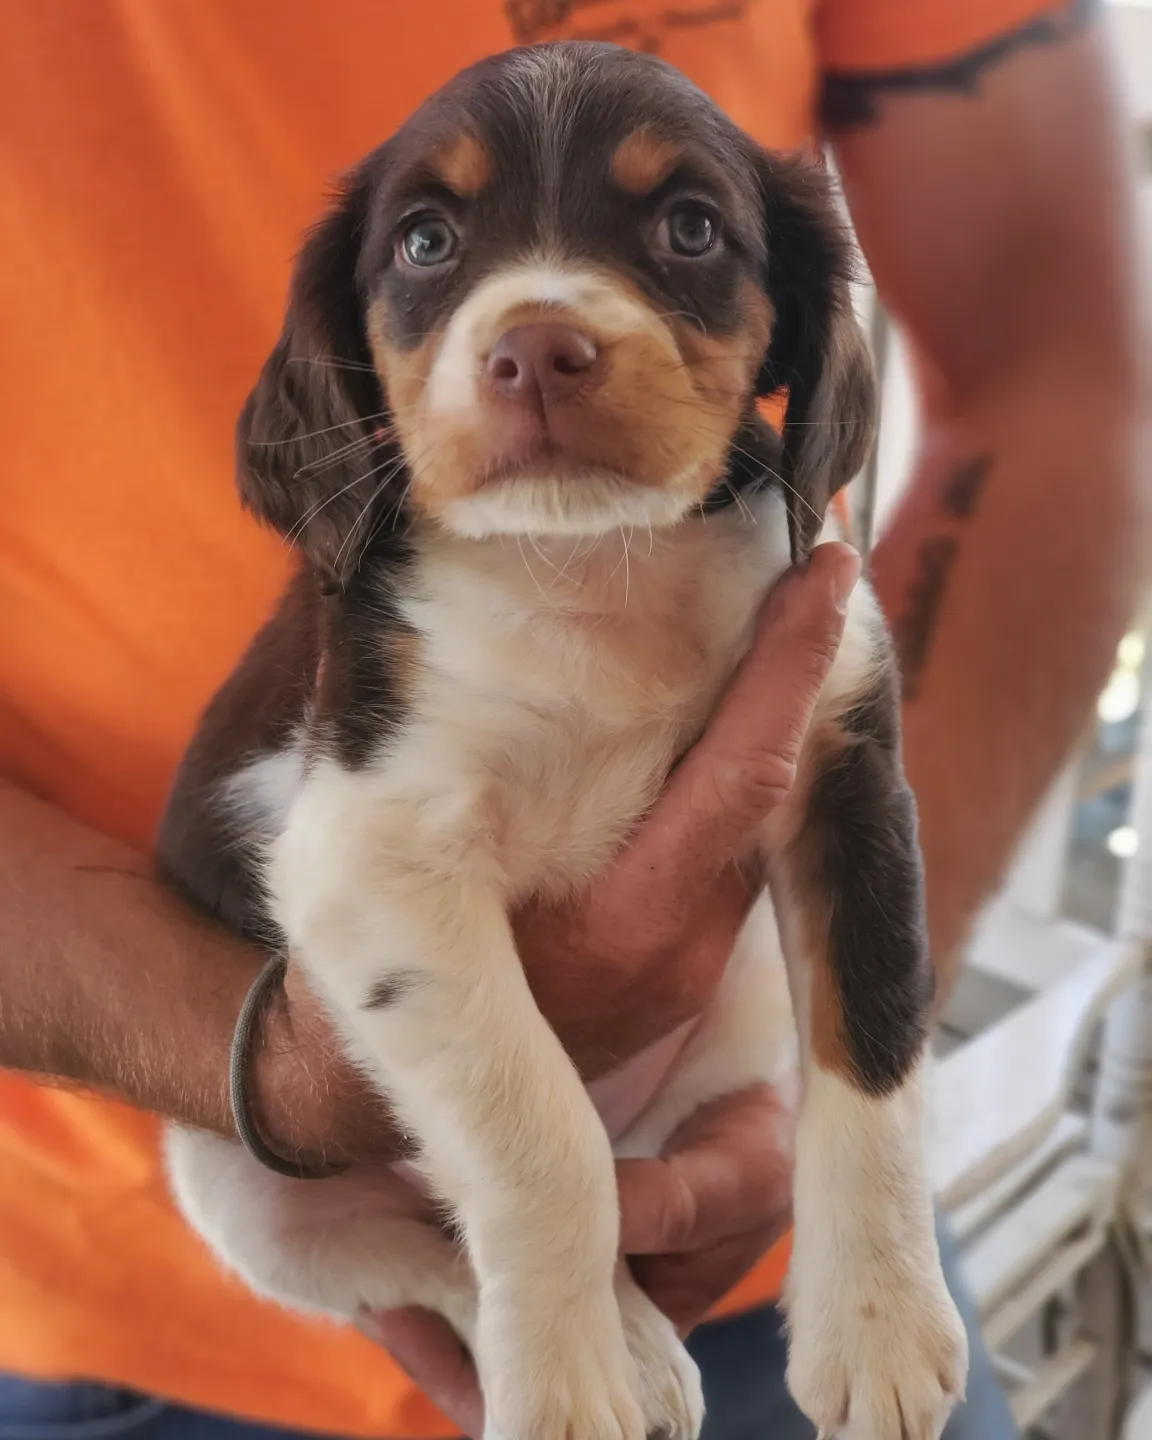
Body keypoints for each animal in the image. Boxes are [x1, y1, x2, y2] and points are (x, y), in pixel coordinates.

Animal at [157, 39, 967, 1440]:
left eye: (689, 227)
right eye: (426, 242)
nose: (538, 347)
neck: (592, 564)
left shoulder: (846, 772)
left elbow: (871, 1053)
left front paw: (881, 1323)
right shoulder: (374, 848)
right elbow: (536, 1138)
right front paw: (569, 1384)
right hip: (239, 1183)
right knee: (436, 1233)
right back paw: (627, 1347)